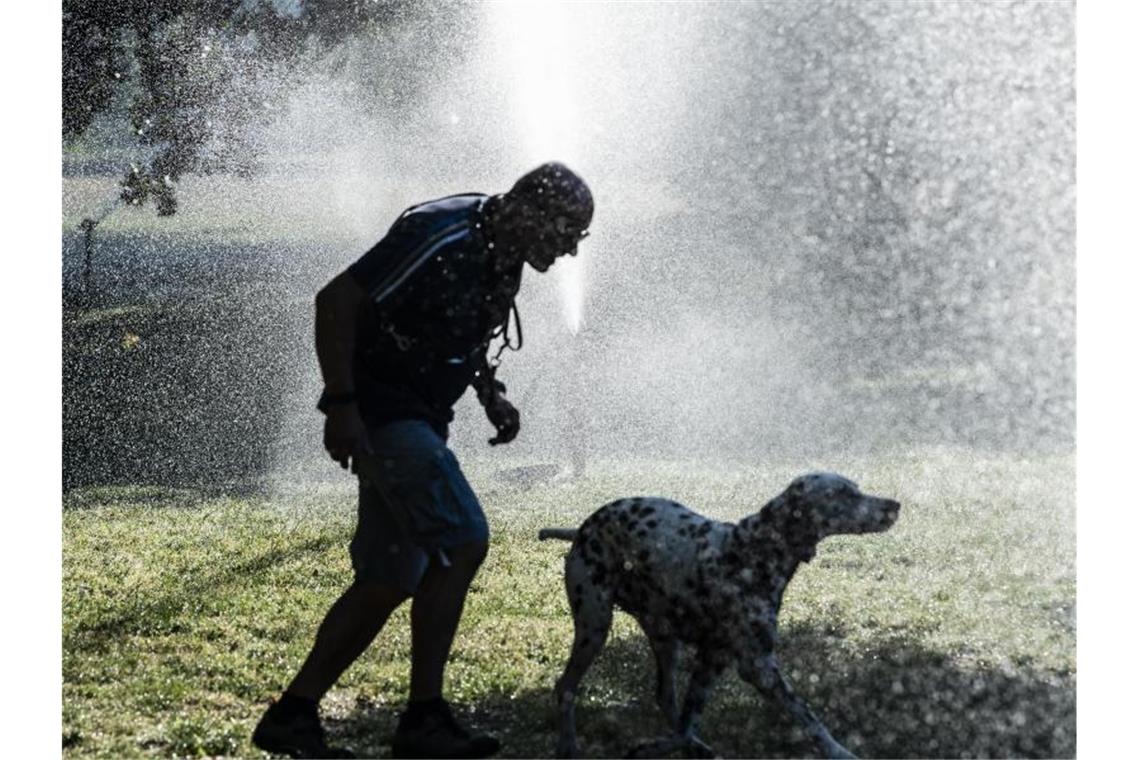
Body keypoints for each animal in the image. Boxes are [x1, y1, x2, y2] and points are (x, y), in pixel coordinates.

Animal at [538, 471, 902, 756]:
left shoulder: (712, 660)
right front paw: (840, 752)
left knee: (665, 698)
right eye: (842, 494)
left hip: (665, 640)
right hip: (594, 626)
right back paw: (568, 746)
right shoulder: (759, 668)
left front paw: (666, 745)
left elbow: (685, 726)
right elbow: (810, 720)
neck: (752, 553)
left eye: (855, 488)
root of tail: (583, 528)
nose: (893, 505)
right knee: (565, 688)